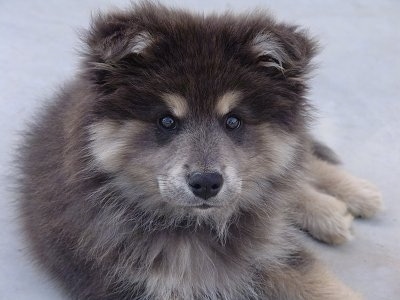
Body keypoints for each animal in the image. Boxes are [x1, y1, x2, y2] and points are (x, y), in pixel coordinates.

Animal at [18, 2, 382, 300]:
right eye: (166, 120)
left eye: (233, 121)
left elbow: (324, 286)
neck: (196, 228)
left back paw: (353, 197)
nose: (206, 183)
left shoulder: (273, 250)